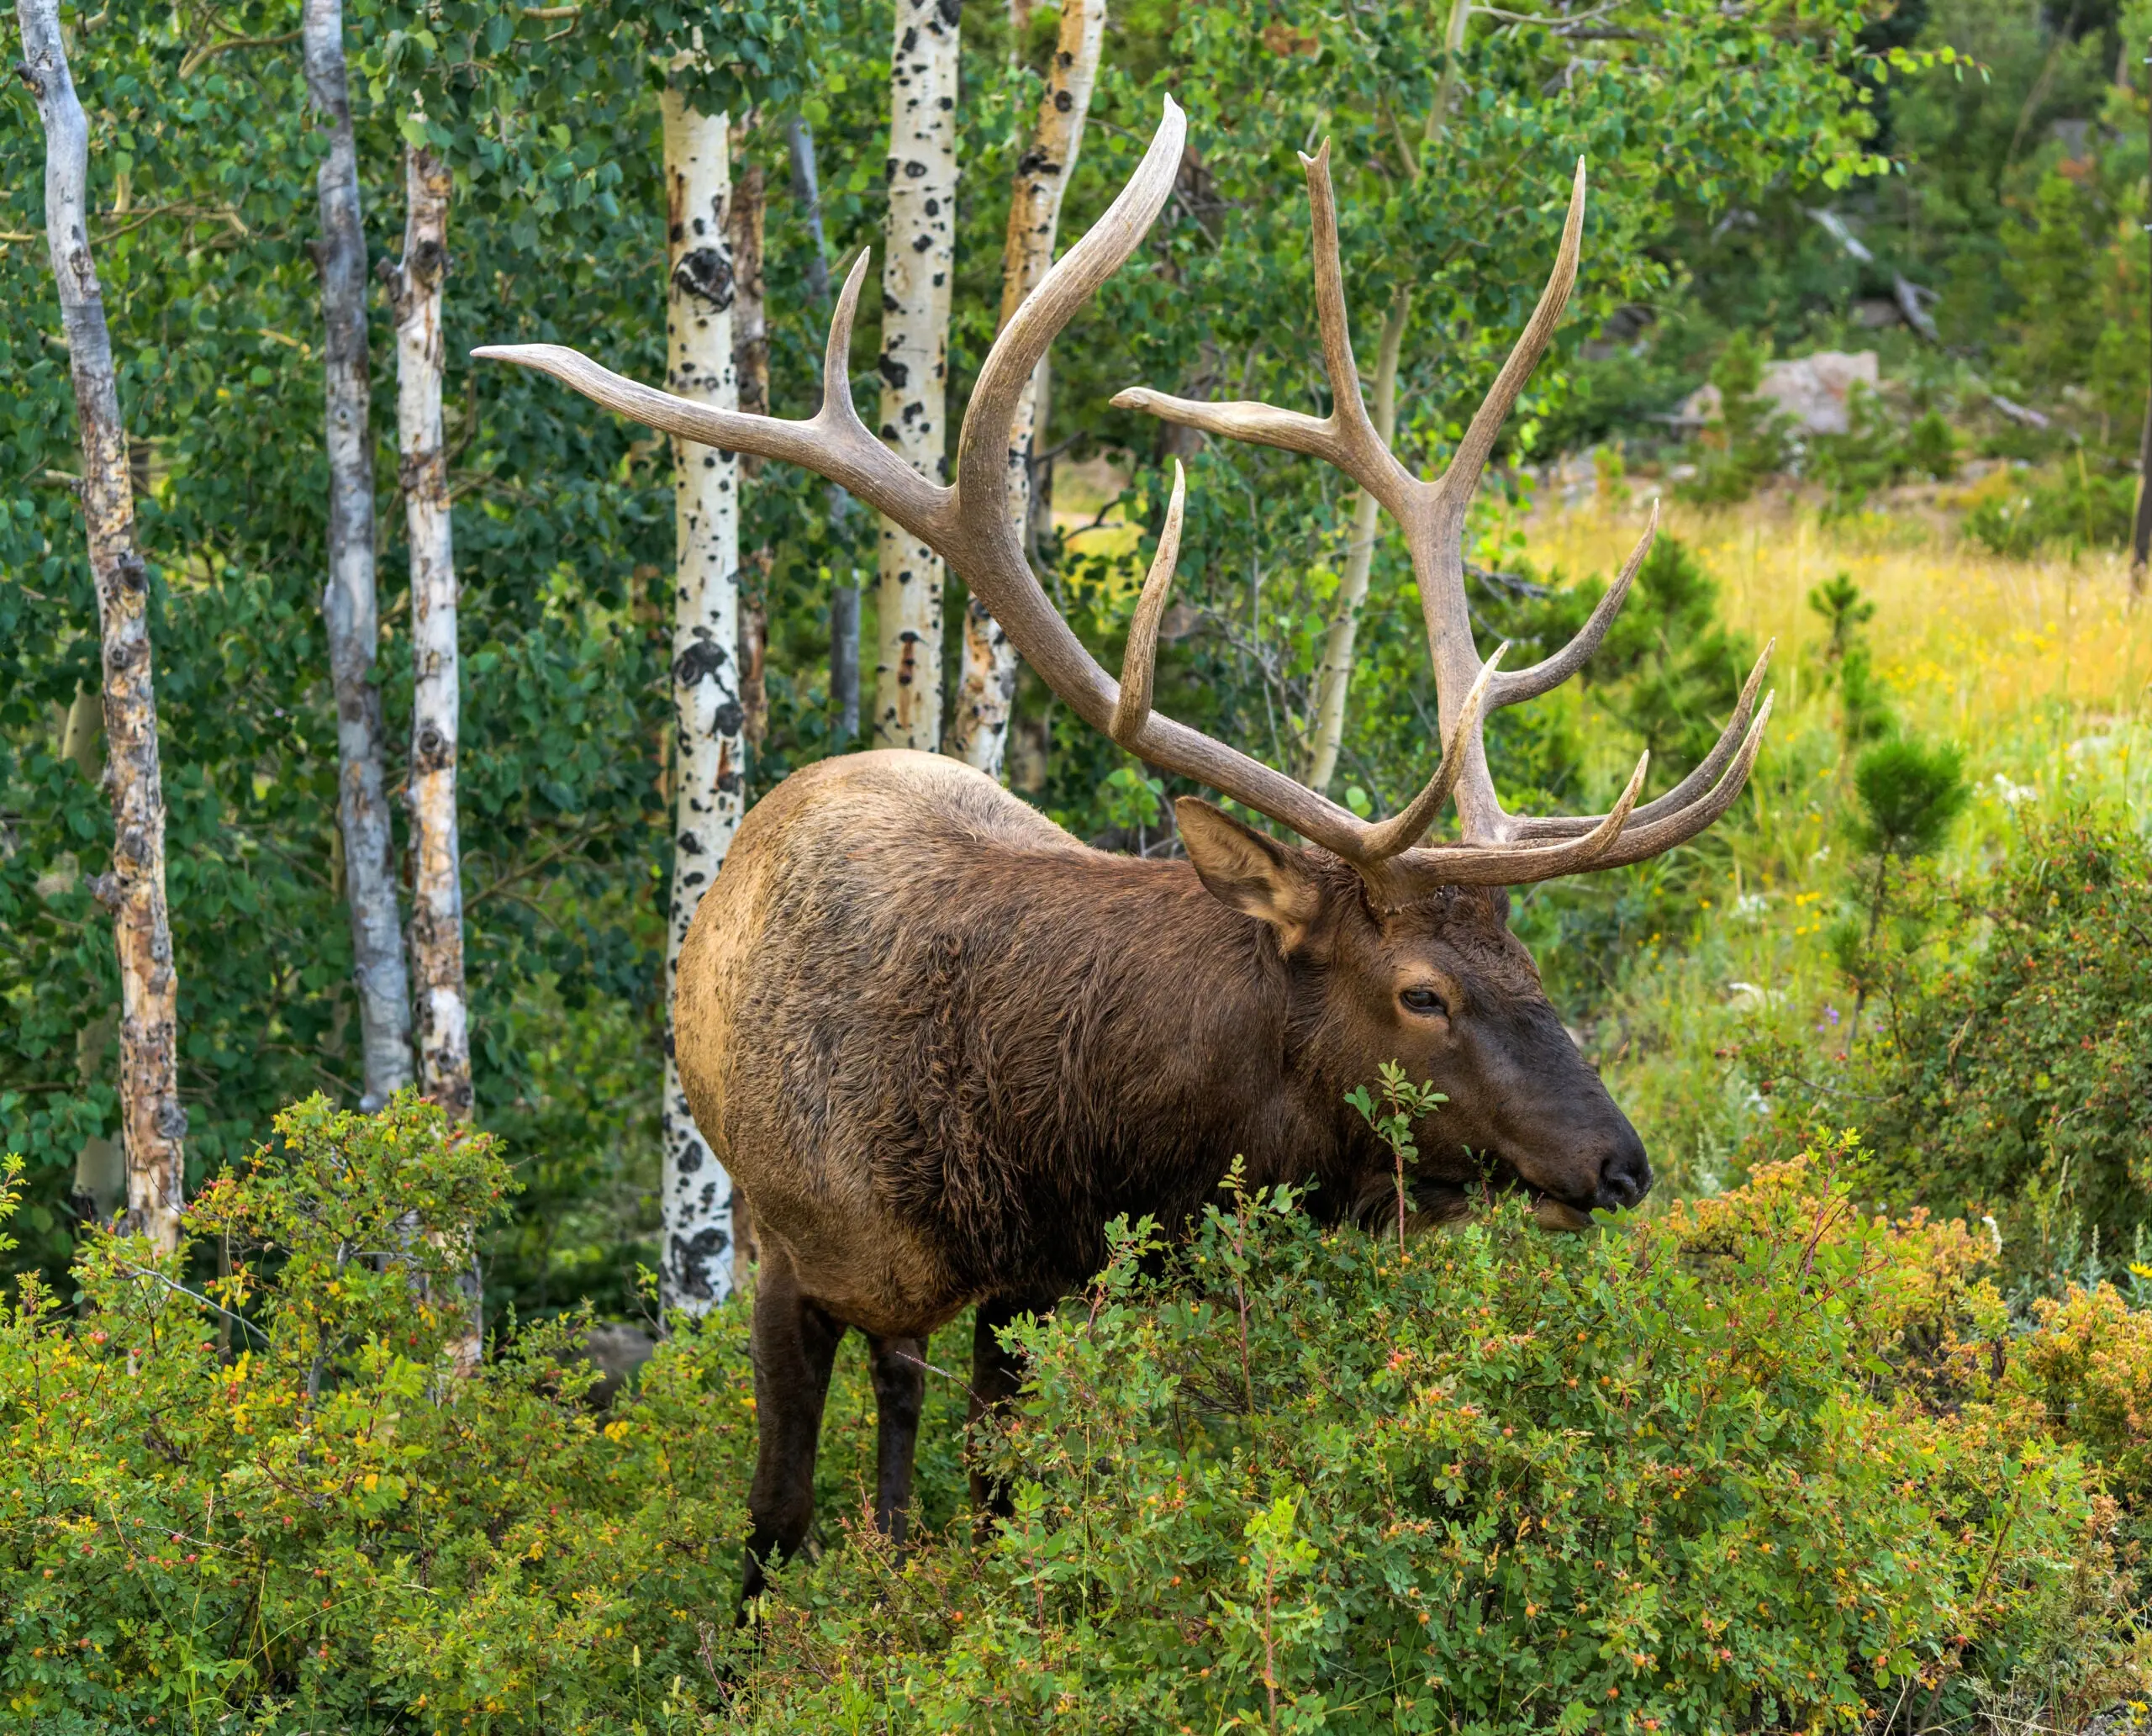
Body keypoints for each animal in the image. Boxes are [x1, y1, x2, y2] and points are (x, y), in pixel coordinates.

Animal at [479, 101, 1773, 1600]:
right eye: (1422, 994)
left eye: (1532, 966)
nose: (1621, 1165)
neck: (1050, 1147)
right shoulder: (790, 1266)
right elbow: (771, 1522)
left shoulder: (1042, 1290)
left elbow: (995, 1513)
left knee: (906, 1401)